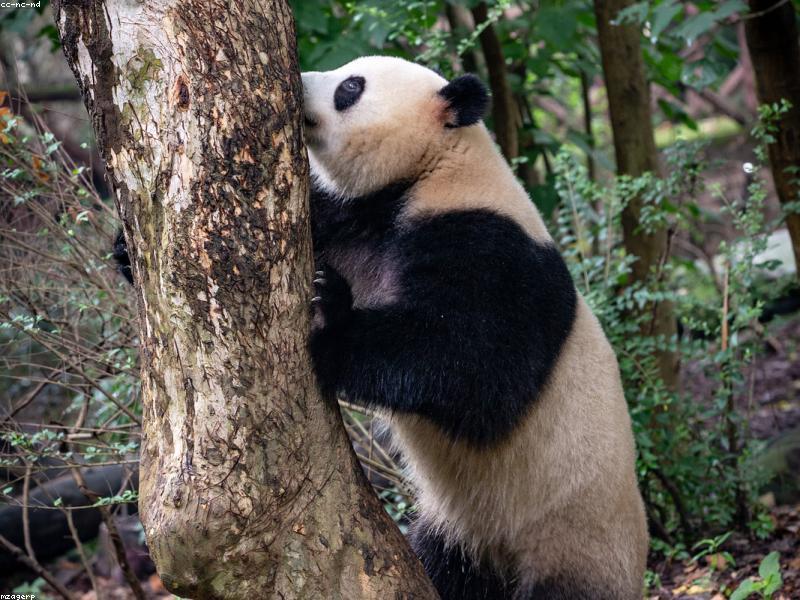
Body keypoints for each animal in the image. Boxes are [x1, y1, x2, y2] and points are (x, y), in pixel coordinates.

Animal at [303, 56, 648, 600]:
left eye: (350, 87)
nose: (297, 83)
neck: (434, 168)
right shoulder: (356, 217)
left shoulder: (494, 248)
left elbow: (476, 369)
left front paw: (331, 315)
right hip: (460, 532)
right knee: (446, 563)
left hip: (574, 546)